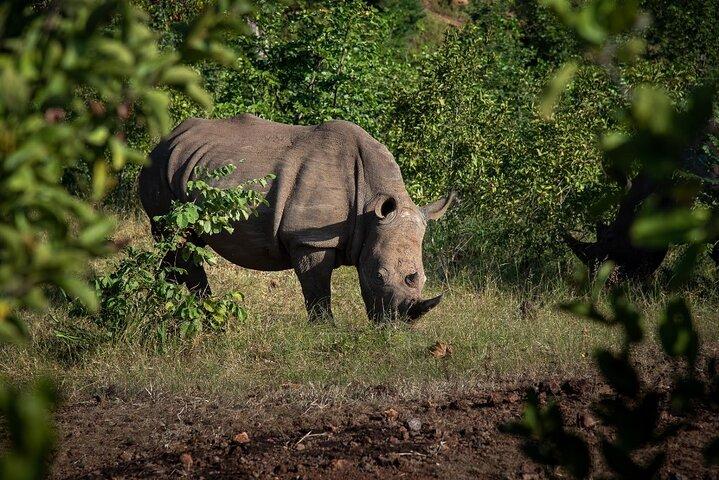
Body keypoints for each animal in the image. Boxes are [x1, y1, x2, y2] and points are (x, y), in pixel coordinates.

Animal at [139, 114, 455, 322]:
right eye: (379, 275)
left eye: (422, 278)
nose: (397, 325)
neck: (370, 204)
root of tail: (165, 139)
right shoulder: (310, 239)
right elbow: (317, 291)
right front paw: (326, 330)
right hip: (159, 168)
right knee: (175, 237)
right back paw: (203, 314)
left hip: (183, 164)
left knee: (182, 245)